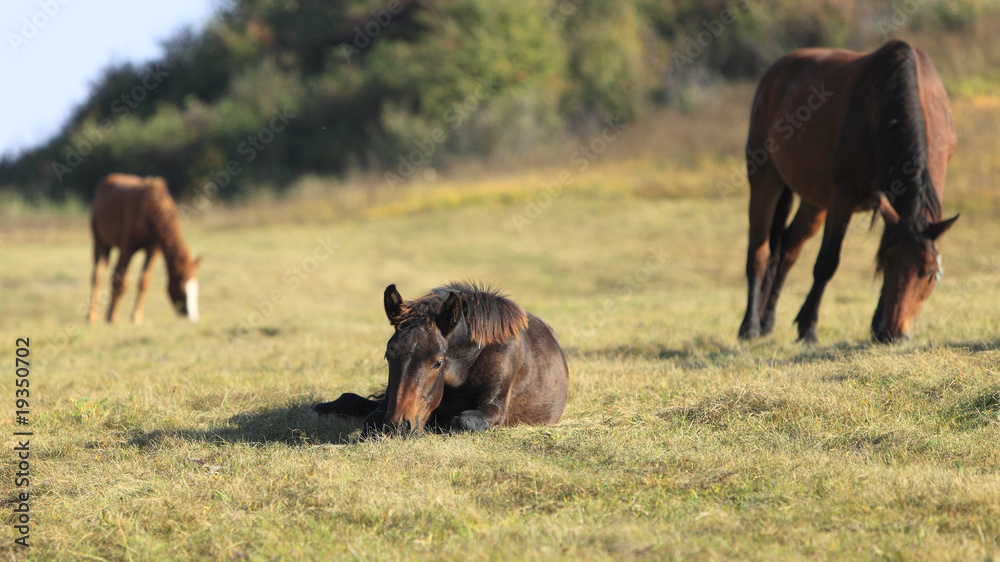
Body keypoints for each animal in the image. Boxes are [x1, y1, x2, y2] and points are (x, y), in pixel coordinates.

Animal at [88, 175, 201, 324]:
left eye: (197, 288)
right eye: (182, 290)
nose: (192, 318)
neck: (151, 208)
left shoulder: (153, 250)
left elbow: (144, 281)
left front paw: (136, 316)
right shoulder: (128, 247)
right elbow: (120, 281)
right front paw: (111, 316)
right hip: (100, 243)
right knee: (97, 276)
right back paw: (91, 316)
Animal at [312, 282, 572, 436]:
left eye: (437, 362)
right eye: (388, 355)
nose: (398, 426)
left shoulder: (495, 407)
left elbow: (463, 422)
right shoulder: (386, 405)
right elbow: (369, 418)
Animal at [736, 40, 960, 342]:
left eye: (927, 272)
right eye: (886, 264)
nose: (895, 333)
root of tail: (775, 71)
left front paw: (877, 325)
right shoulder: (843, 197)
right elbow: (826, 262)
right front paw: (808, 327)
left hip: (814, 202)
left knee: (787, 249)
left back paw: (767, 321)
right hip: (765, 179)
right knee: (759, 254)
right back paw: (750, 326)